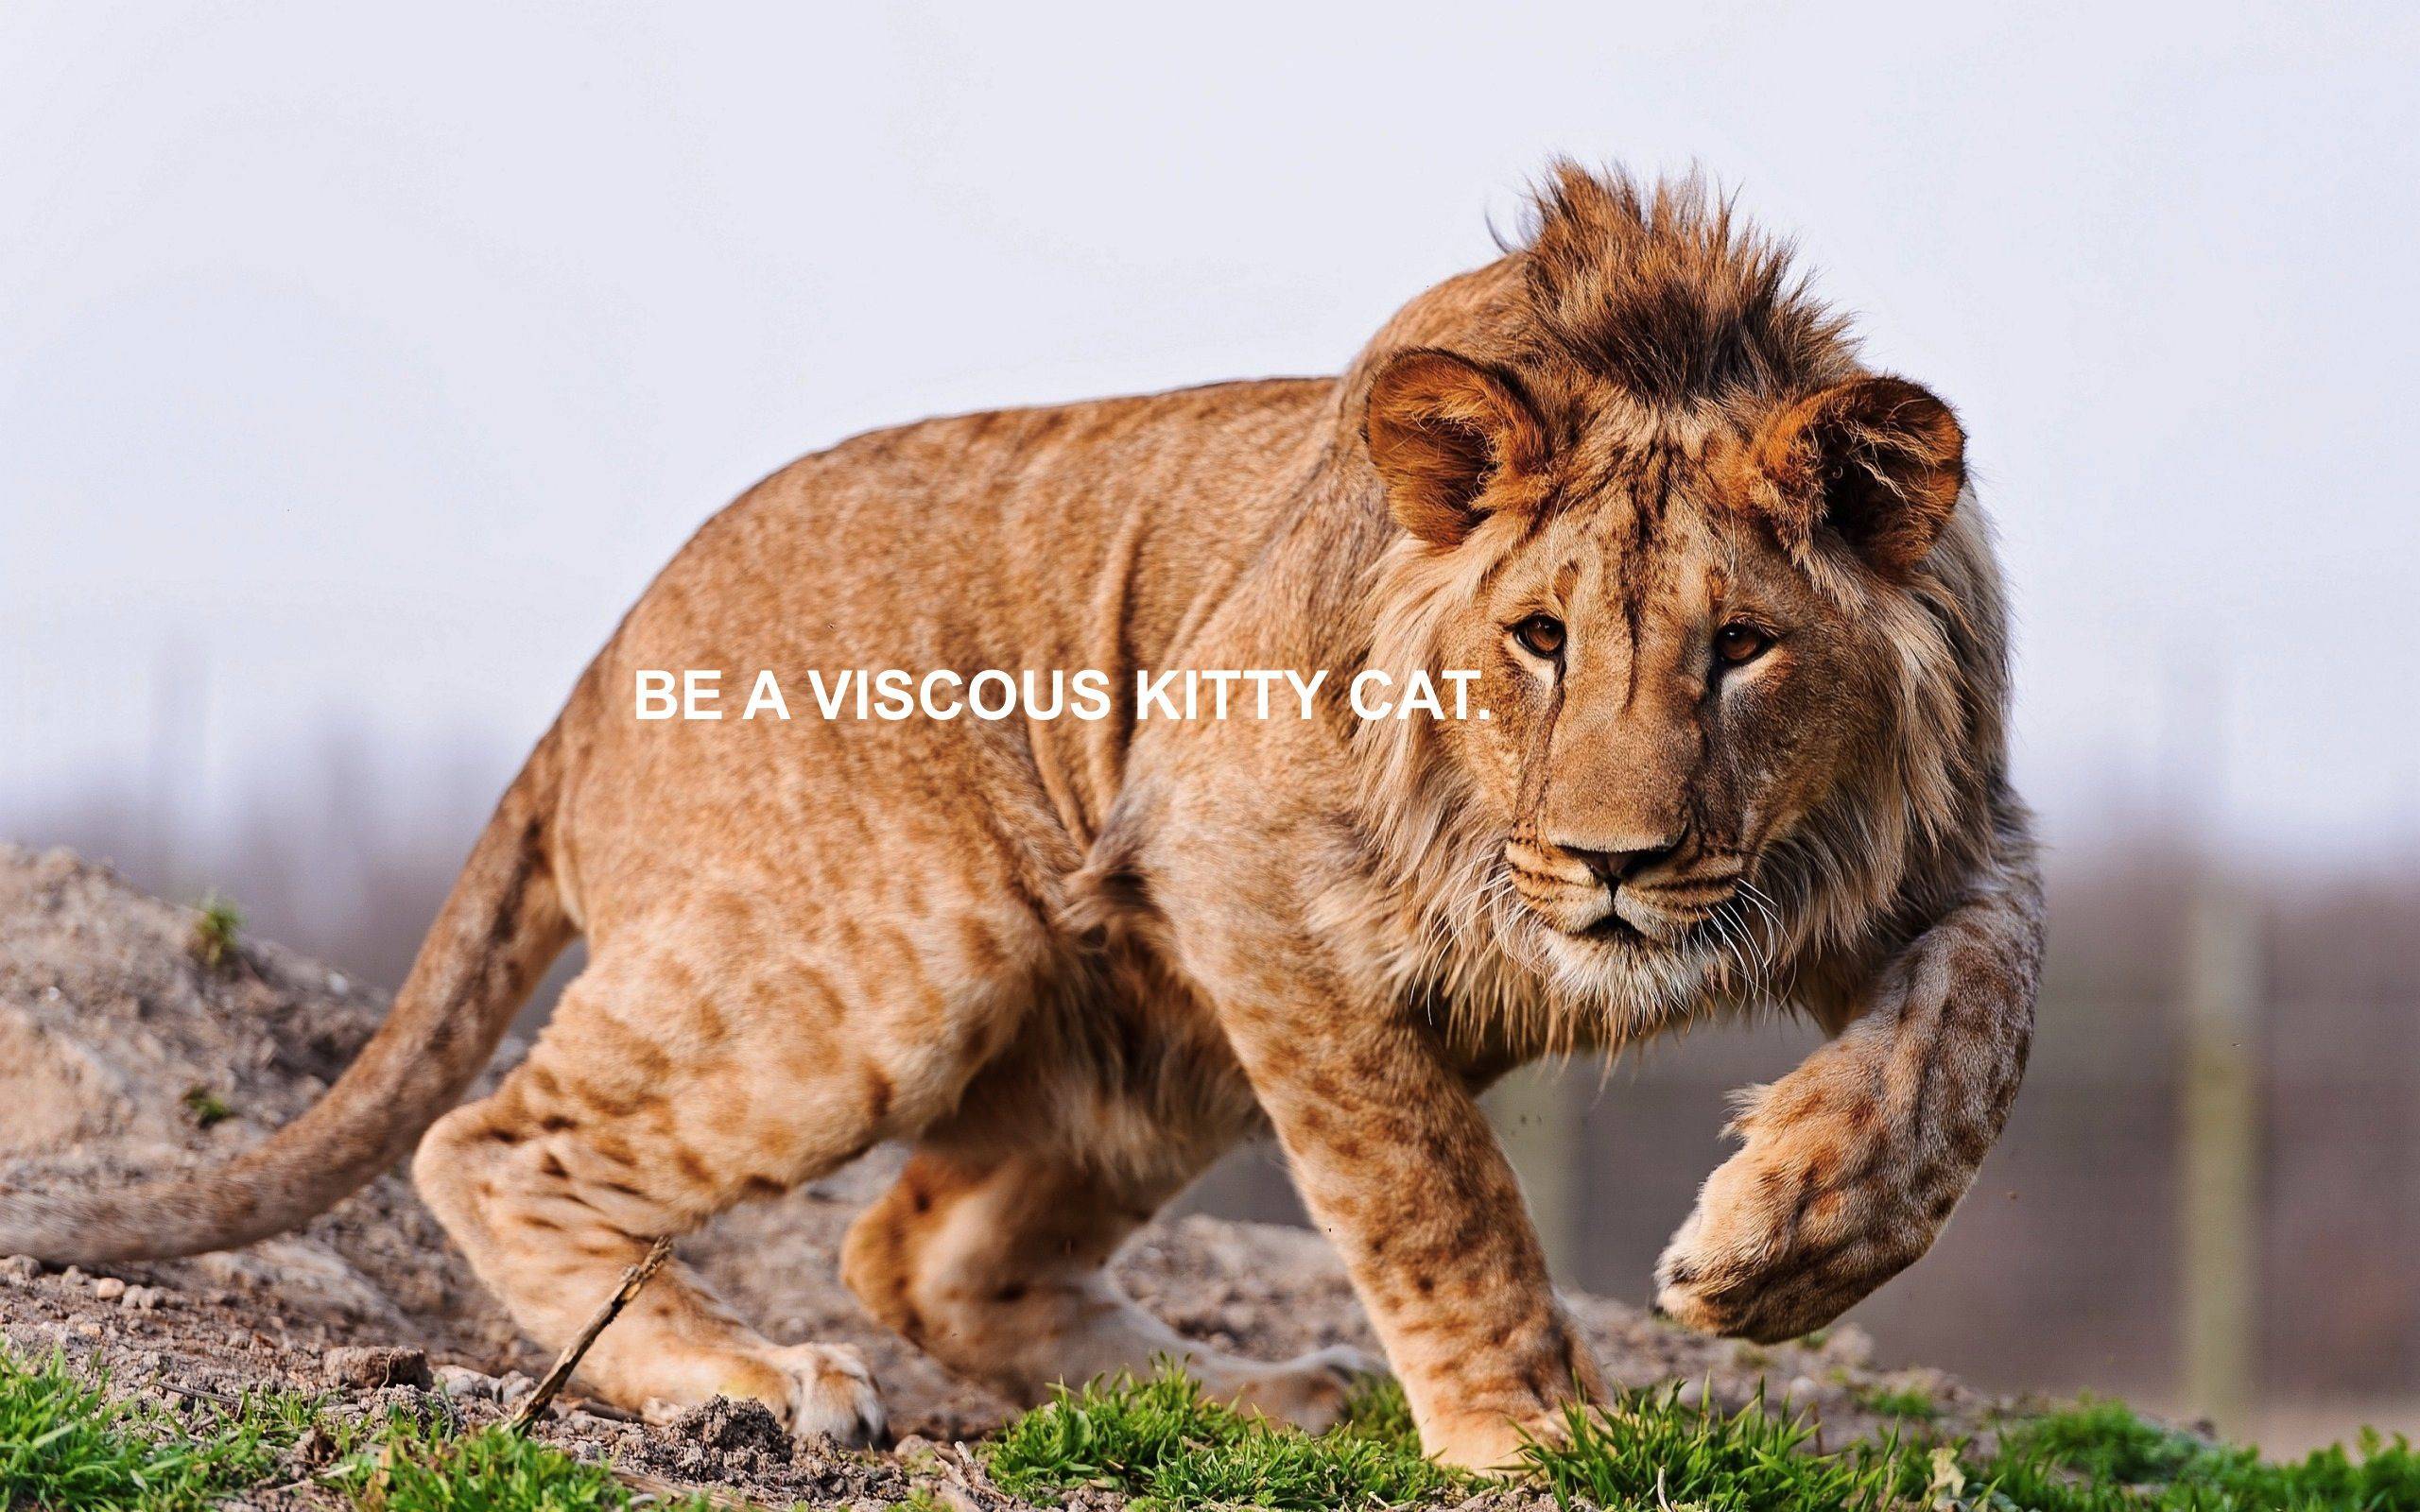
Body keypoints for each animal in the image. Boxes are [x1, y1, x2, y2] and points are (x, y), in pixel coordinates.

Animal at [0, 164, 2039, 1469]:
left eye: (1743, 649)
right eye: (1538, 639)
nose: (1618, 866)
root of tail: (600, 664)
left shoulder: (1945, 841)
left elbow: (1969, 1040)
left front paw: (1778, 1245)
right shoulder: (1238, 851)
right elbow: (1433, 1192)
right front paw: (1527, 1436)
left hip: (1154, 1043)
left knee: (921, 1252)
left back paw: (1264, 1395)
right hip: (915, 950)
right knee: (500, 1141)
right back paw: (741, 1381)